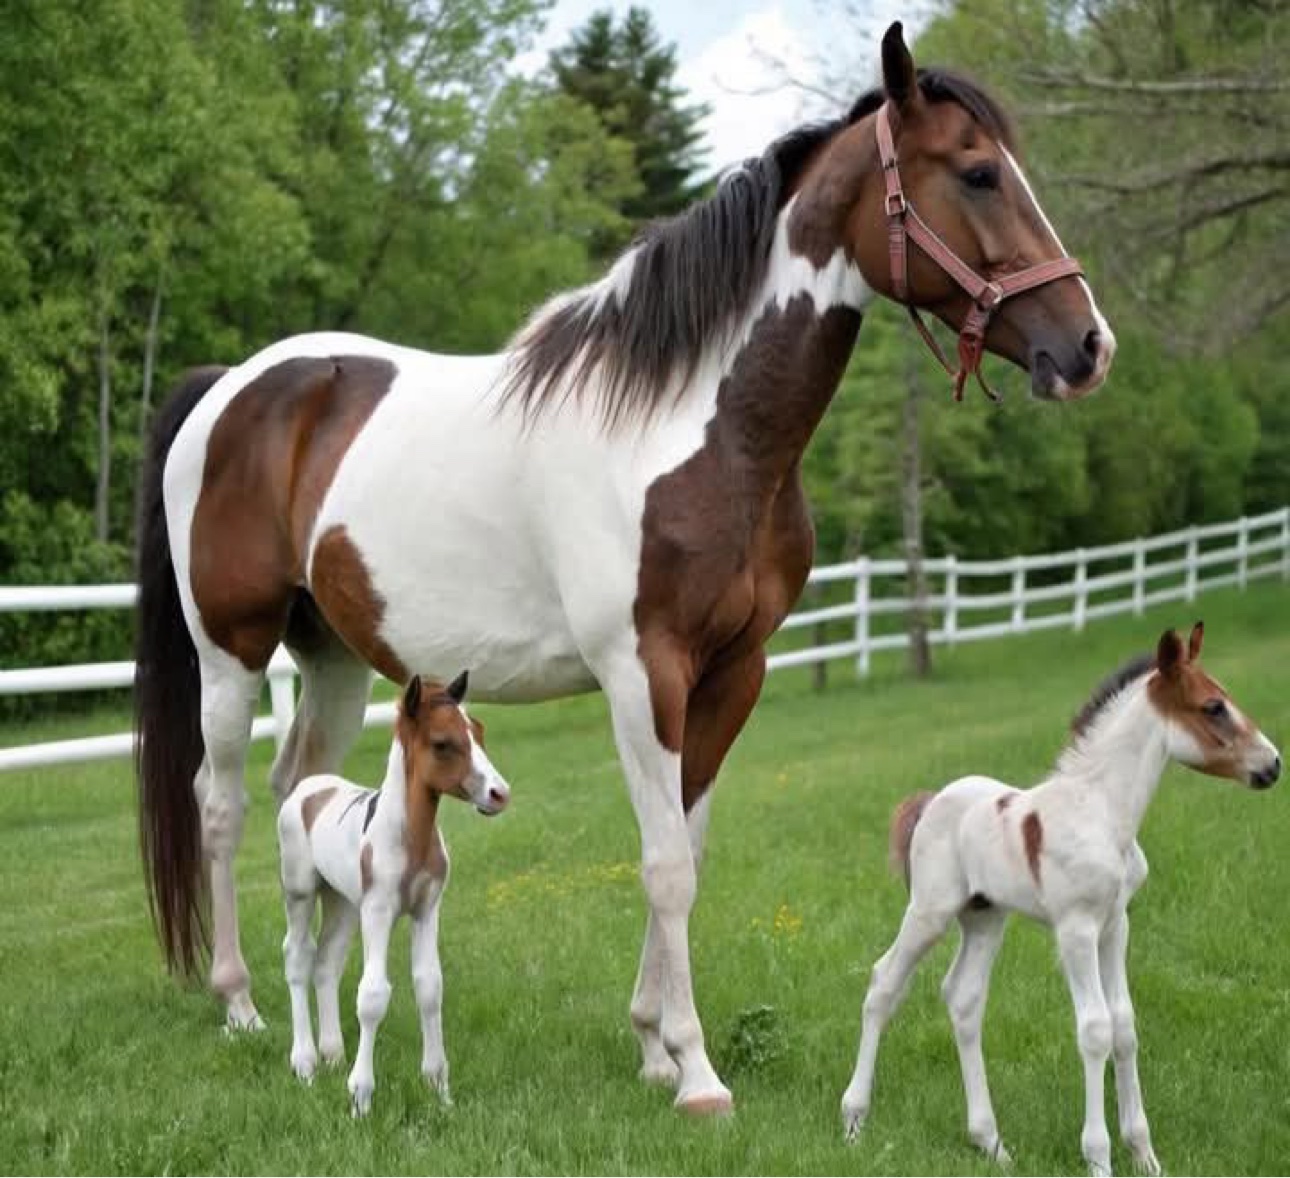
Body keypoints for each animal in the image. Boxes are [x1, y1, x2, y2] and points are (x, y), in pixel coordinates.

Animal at [277, 672, 510, 1116]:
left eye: (479, 731)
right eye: (442, 742)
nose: (499, 794)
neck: (409, 839)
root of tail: (308, 787)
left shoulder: (427, 909)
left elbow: (430, 987)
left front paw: (440, 1090)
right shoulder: (379, 910)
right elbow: (372, 996)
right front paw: (360, 1098)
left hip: (343, 903)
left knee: (326, 962)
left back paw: (333, 1055)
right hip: (301, 892)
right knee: (298, 959)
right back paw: (306, 1064)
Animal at [840, 622, 1281, 1174]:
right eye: (1213, 707)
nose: (1273, 765)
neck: (1102, 812)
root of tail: (931, 800)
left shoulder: (1116, 924)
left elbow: (1124, 1025)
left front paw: (1145, 1155)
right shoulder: (1076, 929)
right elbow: (1094, 1029)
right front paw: (1099, 1157)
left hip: (985, 918)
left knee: (963, 999)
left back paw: (992, 1143)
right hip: (930, 911)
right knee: (883, 983)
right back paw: (854, 1123)